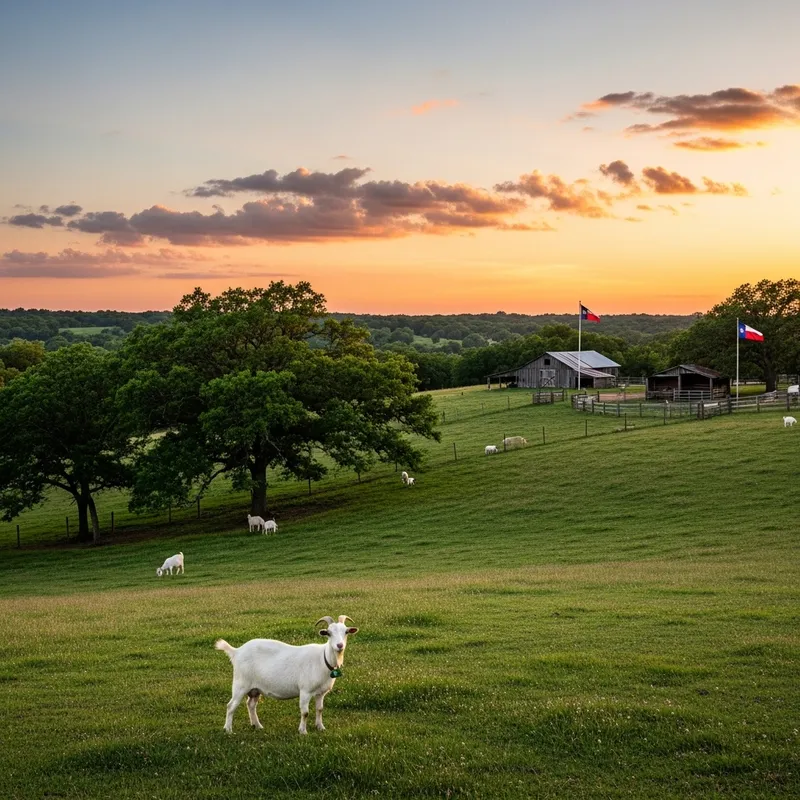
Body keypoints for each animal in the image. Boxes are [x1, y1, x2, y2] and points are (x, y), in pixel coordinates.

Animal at [215, 615, 359, 735]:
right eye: (328, 633)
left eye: (346, 632)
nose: (339, 645)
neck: (322, 659)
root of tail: (236, 651)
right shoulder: (305, 690)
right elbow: (305, 712)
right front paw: (303, 731)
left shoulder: (321, 692)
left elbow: (320, 709)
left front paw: (320, 727)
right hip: (240, 683)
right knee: (231, 706)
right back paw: (228, 730)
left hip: (255, 688)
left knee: (251, 704)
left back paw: (257, 725)